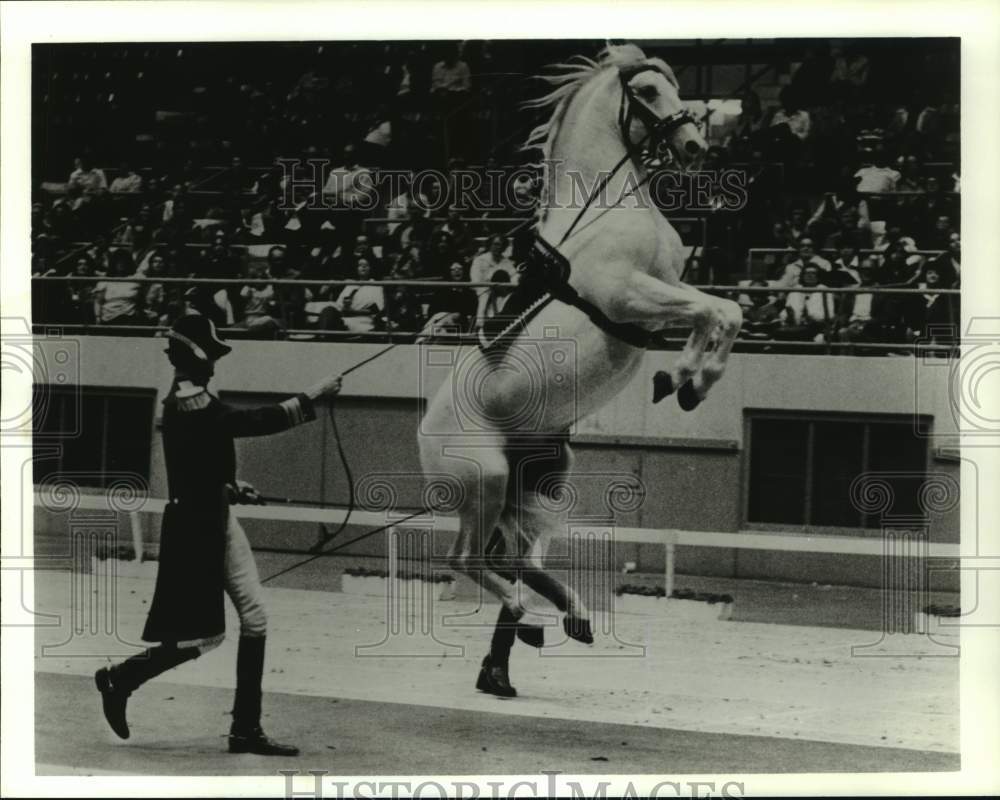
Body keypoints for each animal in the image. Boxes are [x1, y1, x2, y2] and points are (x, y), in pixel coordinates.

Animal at [418, 44, 743, 697]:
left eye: (675, 86)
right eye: (648, 91)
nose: (695, 145)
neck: (604, 209)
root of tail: (420, 433)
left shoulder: (665, 289)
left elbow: (724, 311)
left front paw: (684, 382)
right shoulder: (628, 295)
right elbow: (714, 311)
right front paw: (686, 380)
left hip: (537, 481)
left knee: (513, 560)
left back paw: (569, 618)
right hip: (485, 481)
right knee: (467, 561)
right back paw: (530, 620)